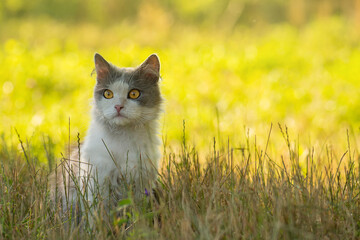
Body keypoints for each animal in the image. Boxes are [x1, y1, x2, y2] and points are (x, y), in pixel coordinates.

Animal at [50, 53, 162, 218]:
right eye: (108, 94)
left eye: (134, 93)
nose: (118, 106)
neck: (123, 138)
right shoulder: (97, 180)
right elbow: (97, 215)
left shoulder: (141, 181)